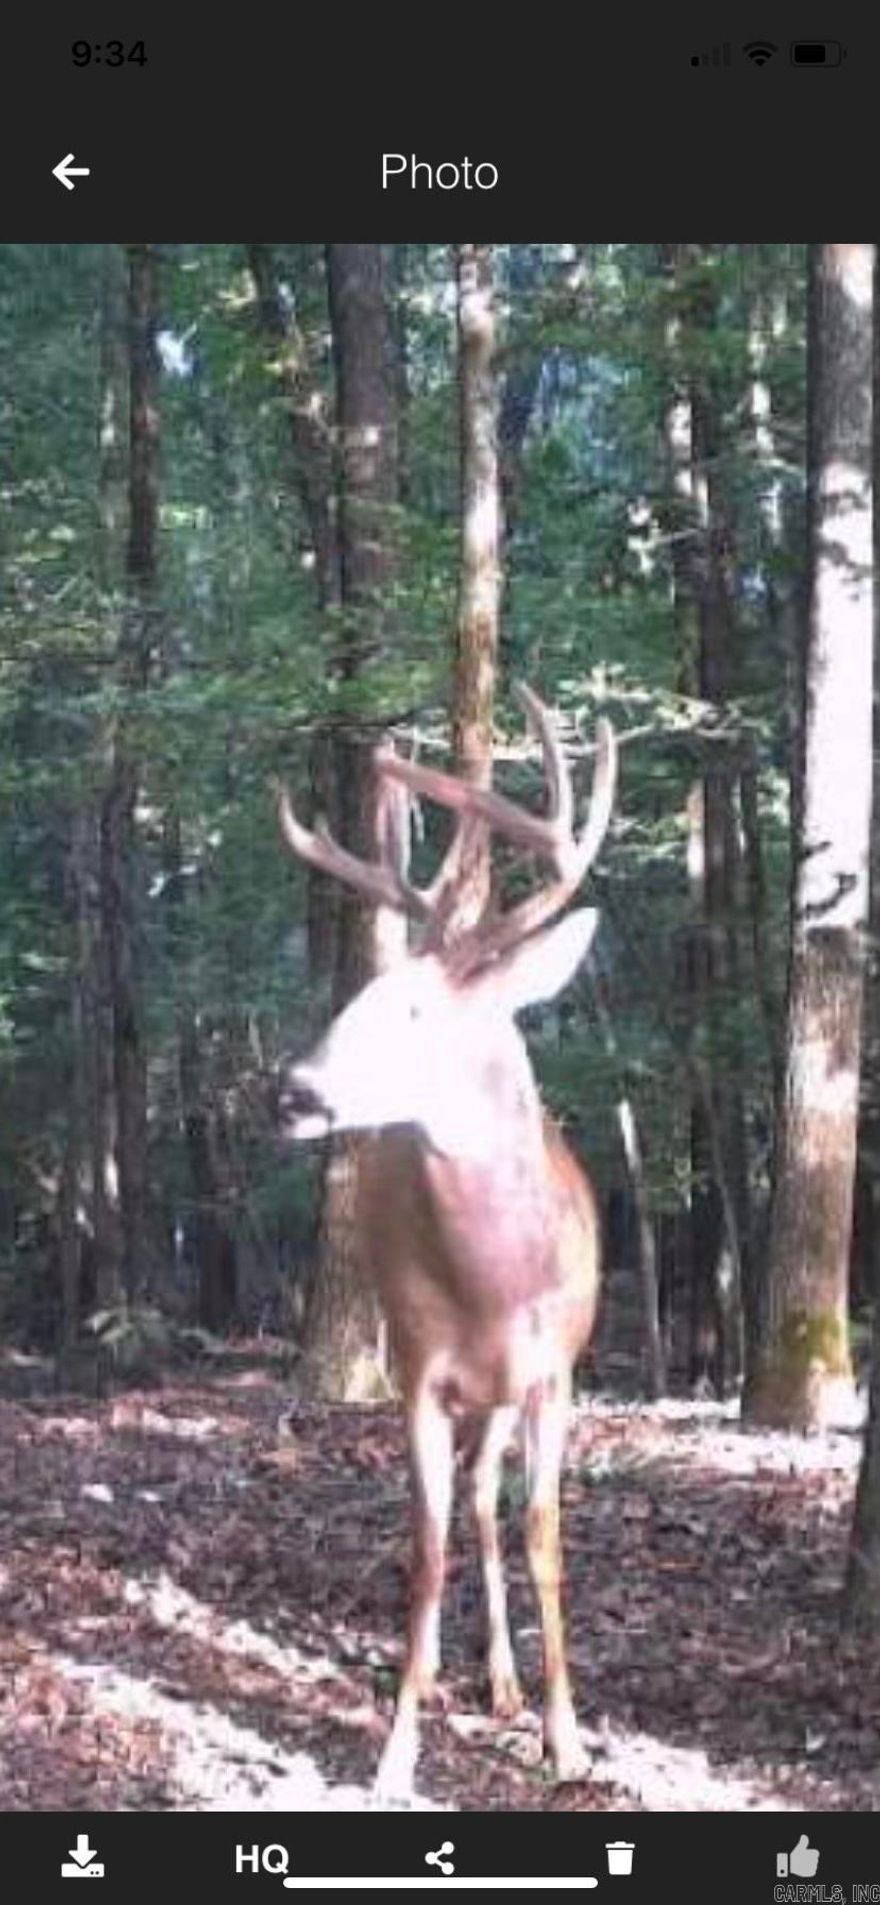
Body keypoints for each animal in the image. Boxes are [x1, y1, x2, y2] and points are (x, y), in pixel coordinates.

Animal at [275, 685, 617, 1798]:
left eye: (418, 1010)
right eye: (354, 996)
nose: (294, 1090)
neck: (495, 1285)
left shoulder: (555, 1372)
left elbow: (546, 1535)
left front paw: (567, 1738)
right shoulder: (420, 1371)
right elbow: (424, 1548)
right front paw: (395, 1750)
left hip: (517, 1389)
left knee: (489, 1497)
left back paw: (510, 1686)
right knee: (467, 1499)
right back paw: (489, 1677)